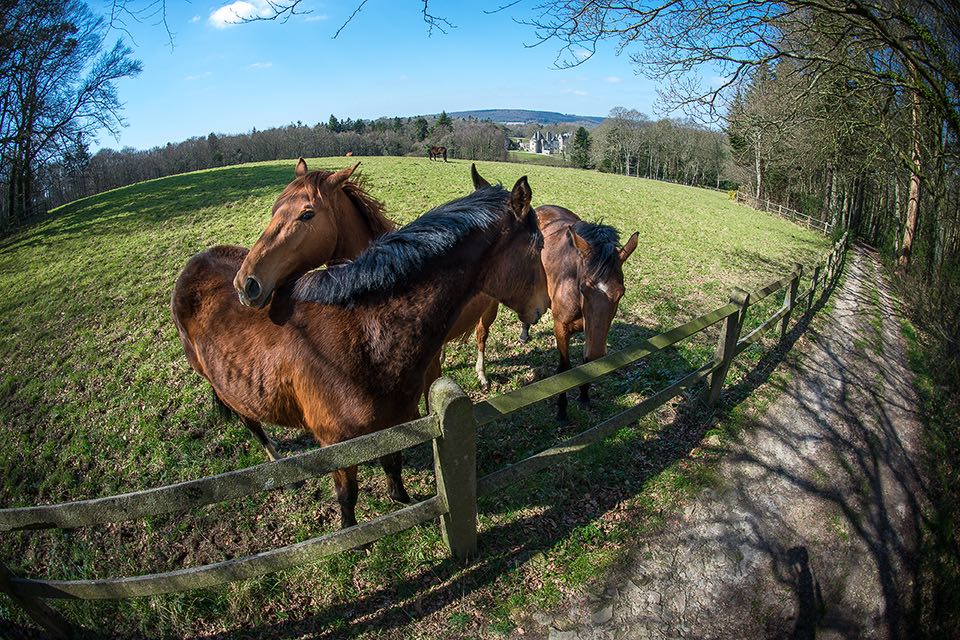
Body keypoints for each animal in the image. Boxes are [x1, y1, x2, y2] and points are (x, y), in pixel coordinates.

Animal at [172, 174, 548, 524]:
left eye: (307, 214)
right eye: (537, 246)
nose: (248, 285)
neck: (365, 334)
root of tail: (195, 262)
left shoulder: (395, 422)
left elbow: (393, 464)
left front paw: (403, 502)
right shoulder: (338, 446)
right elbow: (348, 496)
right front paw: (355, 535)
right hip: (227, 385)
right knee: (249, 421)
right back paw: (277, 464)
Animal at [474, 208, 632, 422]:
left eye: (621, 293)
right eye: (583, 289)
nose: (599, 354)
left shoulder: (590, 332)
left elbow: (586, 362)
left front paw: (584, 396)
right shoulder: (561, 328)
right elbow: (564, 369)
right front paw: (562, 410)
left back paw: (524, 333)